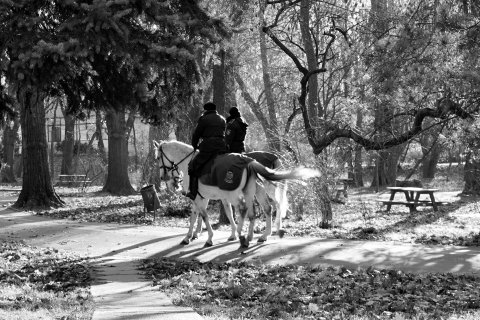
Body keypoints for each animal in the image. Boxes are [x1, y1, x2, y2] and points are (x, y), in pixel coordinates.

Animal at [154, 140, 318, 248]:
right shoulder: (212, 197)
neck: (190, 162)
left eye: (157, 158)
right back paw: (261, 235)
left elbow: (201, 215)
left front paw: (202, 237)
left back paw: (258, 233)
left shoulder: (200, 197)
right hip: (254, 192)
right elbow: (216, 214)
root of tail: (250, 161)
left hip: (258, 191)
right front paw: (195, 235)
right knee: (264, 209)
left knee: (263, 207)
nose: (163, 178)